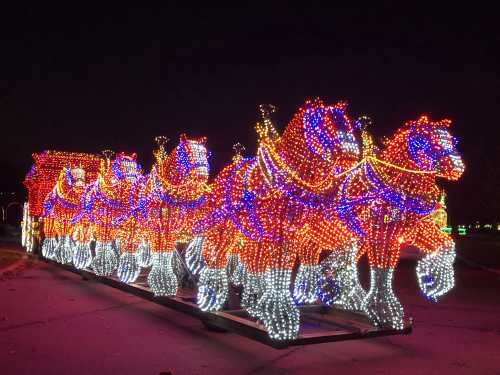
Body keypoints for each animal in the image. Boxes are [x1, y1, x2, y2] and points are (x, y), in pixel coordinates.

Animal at [133, 135, 209, 296]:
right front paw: (161, 281)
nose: (202, 174)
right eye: (186, 153)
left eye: (205, 153)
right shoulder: (159, 228)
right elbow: (162, 251)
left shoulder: (181, 225)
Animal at [188, 100, 360, 340]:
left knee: (253, 264)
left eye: (348, 125)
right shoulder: (283, 231)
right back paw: (212, 296)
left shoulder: (310, 230)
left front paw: (326, 285)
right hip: (226, 229)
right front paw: (281, 314)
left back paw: (252, 299)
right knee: (217, 257)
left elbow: (341, 249)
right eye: (327, 126)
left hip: (253, 234)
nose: (352, 156)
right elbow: (281, 268)